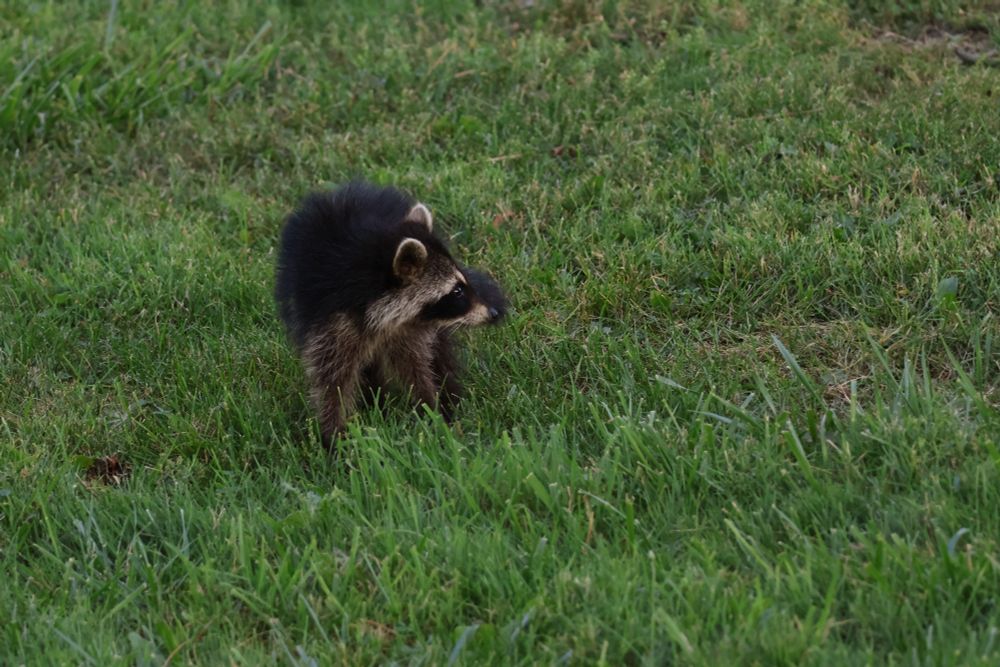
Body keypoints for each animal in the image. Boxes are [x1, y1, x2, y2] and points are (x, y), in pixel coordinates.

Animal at [275, 182, 507, 446]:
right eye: (457, 291)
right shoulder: (328, 319)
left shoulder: (410, 328)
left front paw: (433, 409)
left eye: (463, 283)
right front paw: (334, 435)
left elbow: (415, 365)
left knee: (439, 350)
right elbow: (332, 378)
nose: (493, 312)